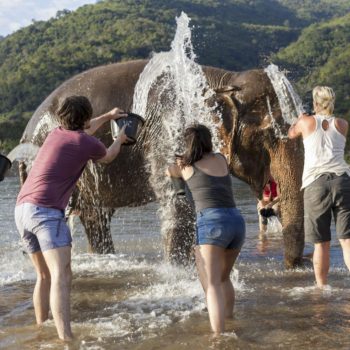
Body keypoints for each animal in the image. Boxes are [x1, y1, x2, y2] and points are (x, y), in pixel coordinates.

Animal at [17, 59, 304, 268]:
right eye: (269, 135)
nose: (292, 266)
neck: (223, 79)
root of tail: (24, 134)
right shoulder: (170, 126)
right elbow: (178, 201)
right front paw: (180, 270)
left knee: (95, 217)